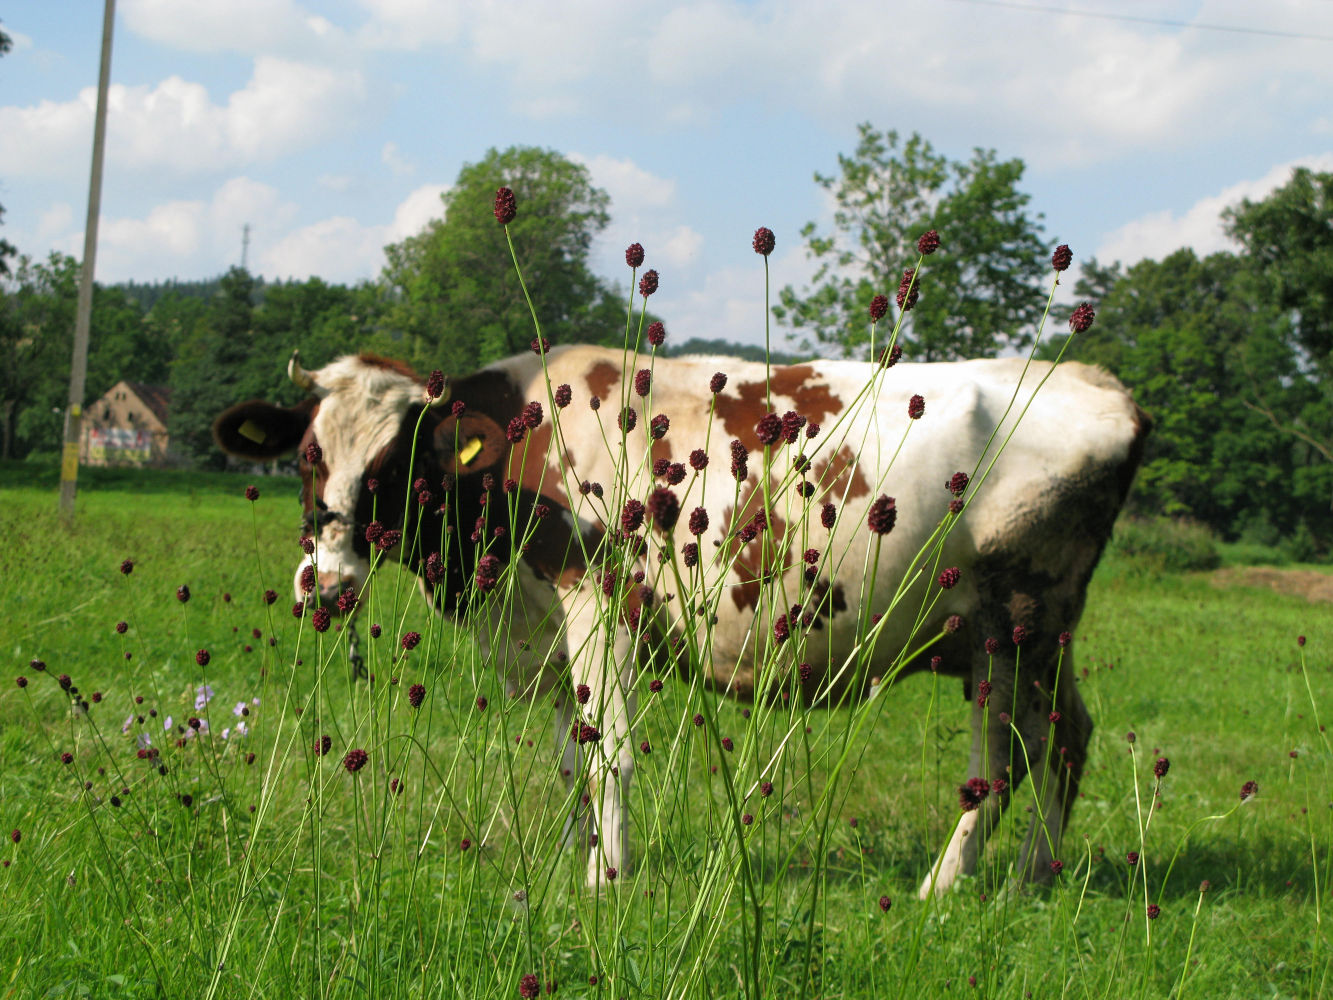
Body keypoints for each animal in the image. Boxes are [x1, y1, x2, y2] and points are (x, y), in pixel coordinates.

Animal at [213, 346, 1151, 901]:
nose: (326, 584)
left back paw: (947, 886)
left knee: (1005, 756)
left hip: (1016, 622)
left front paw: (607, 879)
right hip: (1029, 637)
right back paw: (1035, 877)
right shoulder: (545, 624)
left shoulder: (601, 600)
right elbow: (570, 757)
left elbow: (609, 752)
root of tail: (1094, 381)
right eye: (309, 456)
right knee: (1065, 737)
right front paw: (574, 859)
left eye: (394, 464)